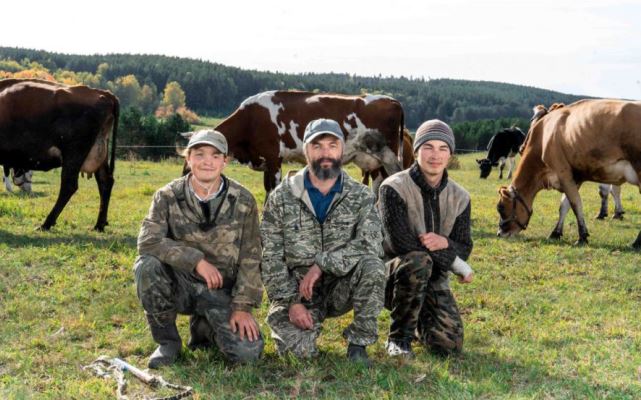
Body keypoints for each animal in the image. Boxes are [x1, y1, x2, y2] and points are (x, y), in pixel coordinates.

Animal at [0, 78, 119, 231]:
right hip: (99, 151)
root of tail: (104, 93)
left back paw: (46, 223)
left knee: (69, 185)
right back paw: (99, 224)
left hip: (74, 152)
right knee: (105, 182)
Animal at [183, 91, 405, 196]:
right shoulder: (266, 161)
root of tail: (392, 100)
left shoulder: (273, 158)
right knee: (378, 183)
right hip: (373, 159)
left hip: (389, 155)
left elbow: (272, 190)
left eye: (188, 164)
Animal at [496, 99, 641, 248]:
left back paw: (637, 242)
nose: (500, 233)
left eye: (500, 208)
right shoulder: (574, 178)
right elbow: (564, 206)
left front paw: (582, 237)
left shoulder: (563, 173)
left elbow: (575, 204)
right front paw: (555, 233)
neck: (544, 137)